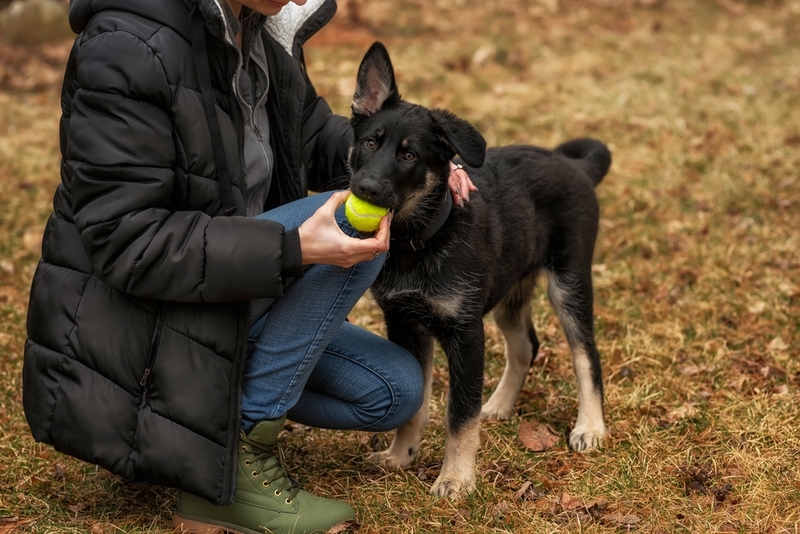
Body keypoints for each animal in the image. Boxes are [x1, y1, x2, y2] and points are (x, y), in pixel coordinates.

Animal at [346, 43, 608, 502]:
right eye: (370, 143)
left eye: (409, 155)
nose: (366, 189)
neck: (420, 240)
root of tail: (575, 166)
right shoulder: (404, 323)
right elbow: (417, 403)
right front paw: (401, 455)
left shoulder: (465, 333)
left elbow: (459, 412)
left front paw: (455, 479)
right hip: (510, 289)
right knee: (525, 345)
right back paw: (500, 405)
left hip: (569, 281)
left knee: (585, 354)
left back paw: (590, 427)